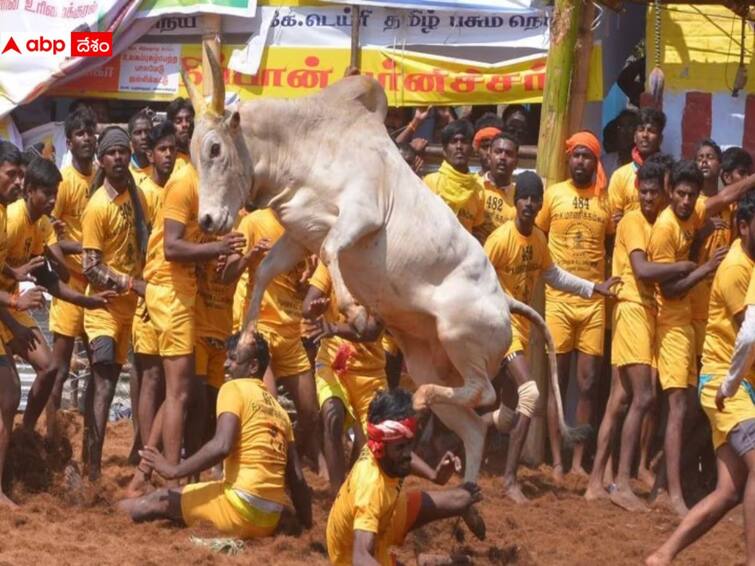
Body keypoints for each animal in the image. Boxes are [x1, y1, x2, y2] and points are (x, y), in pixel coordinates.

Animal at [188, 50, 584, 484]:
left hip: (459, 336)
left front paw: (358, 314)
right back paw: (466, 489)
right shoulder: (297, 236)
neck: (306, 146)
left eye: (215, 149)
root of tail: (506, 303)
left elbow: (331, 249)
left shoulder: (362, 215)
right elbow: (263, 271)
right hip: (427, 362)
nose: (208, 220)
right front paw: (245, 336)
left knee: (487, 394)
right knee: (474, 427)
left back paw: (430, 404)